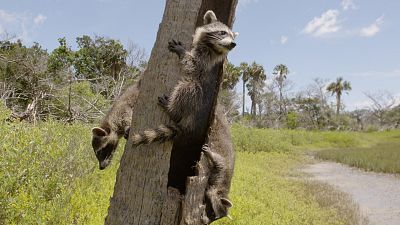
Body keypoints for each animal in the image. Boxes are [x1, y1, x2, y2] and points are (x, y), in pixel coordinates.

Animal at [127, 11, 238, 146]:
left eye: (233, 37)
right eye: (223, 32)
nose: (233, 44)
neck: (213, 47)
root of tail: (190, 123)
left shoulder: (206, 60)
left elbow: (193, 66)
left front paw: (182, 52)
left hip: (195, 100)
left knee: (188, 87)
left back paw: (172, 110)